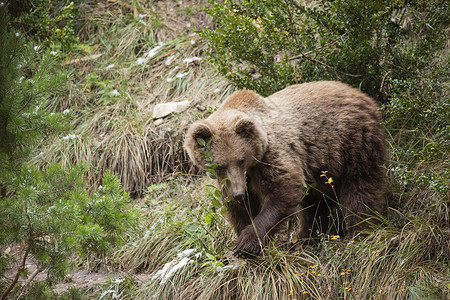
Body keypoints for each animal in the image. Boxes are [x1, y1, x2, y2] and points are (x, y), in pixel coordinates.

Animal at [183, 81, 386, 256]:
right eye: (220, 165)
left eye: (241, 160)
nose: (239, 193)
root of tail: (361, 94)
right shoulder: (232, 180)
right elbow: (239, 208)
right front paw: (241, 235)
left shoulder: (272, 156)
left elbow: (282, 193)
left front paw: (246, 243)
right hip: (321, 169)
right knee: (315, 204)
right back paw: (305, 239)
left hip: (353, 142)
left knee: (360, 188)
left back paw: (360, 232)